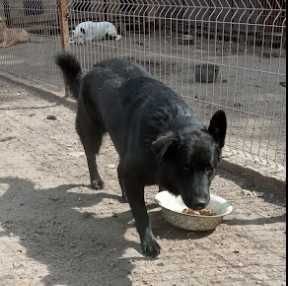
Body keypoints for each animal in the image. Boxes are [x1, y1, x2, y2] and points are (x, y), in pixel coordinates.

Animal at [55, 53, 227, 256]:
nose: (201, 204)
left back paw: (123, 194)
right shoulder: (133, 176)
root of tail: (92, 69)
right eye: (185, 167)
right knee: (91, 155)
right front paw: (148, 242)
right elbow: (141, 213)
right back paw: (96, 180)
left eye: (210, 169)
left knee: (118, 167)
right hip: (91, 130)